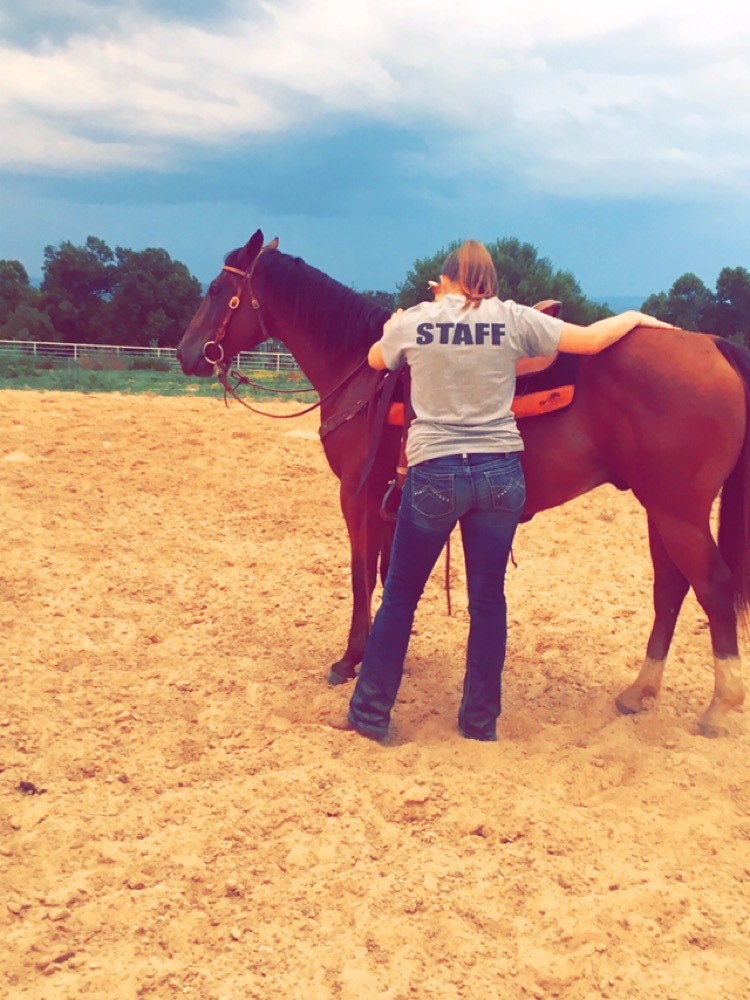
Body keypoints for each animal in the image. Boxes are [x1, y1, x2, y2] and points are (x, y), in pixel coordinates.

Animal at [178, 230, 750, 740]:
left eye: (215, 290)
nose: (186, 353)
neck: (363, 375)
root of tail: (712, 346)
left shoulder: (356, 496)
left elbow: (362, 576)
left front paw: (350, 659)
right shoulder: (392, 502)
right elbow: (387, 577)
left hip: (678, 514)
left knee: (713, 587)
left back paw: (719, 706)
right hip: (661, 510)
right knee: (670, 588)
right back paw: (640, 692)